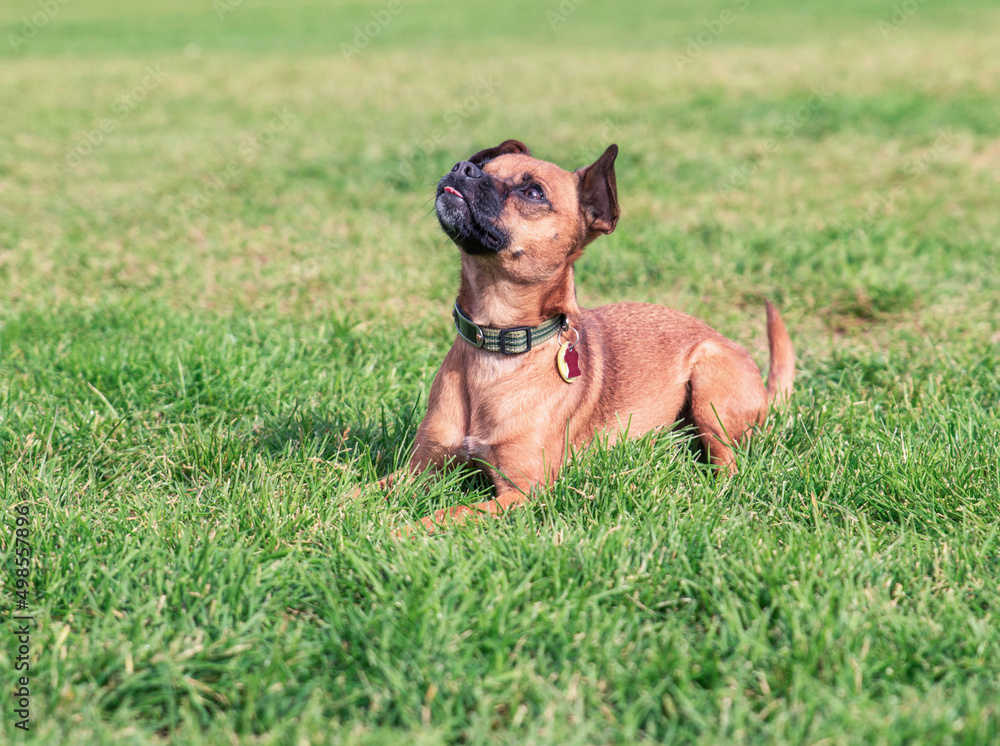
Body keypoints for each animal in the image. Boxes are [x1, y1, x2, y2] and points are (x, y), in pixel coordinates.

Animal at [386, 140, 792, 532]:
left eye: (532, 192)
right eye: (483, 166)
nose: (463, 167)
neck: (496, 343)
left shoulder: (522, 492)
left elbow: (447, 513)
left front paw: (398, 531)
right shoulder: (417, 470)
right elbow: (373, 489)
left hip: (709, 386)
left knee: (728, 464)